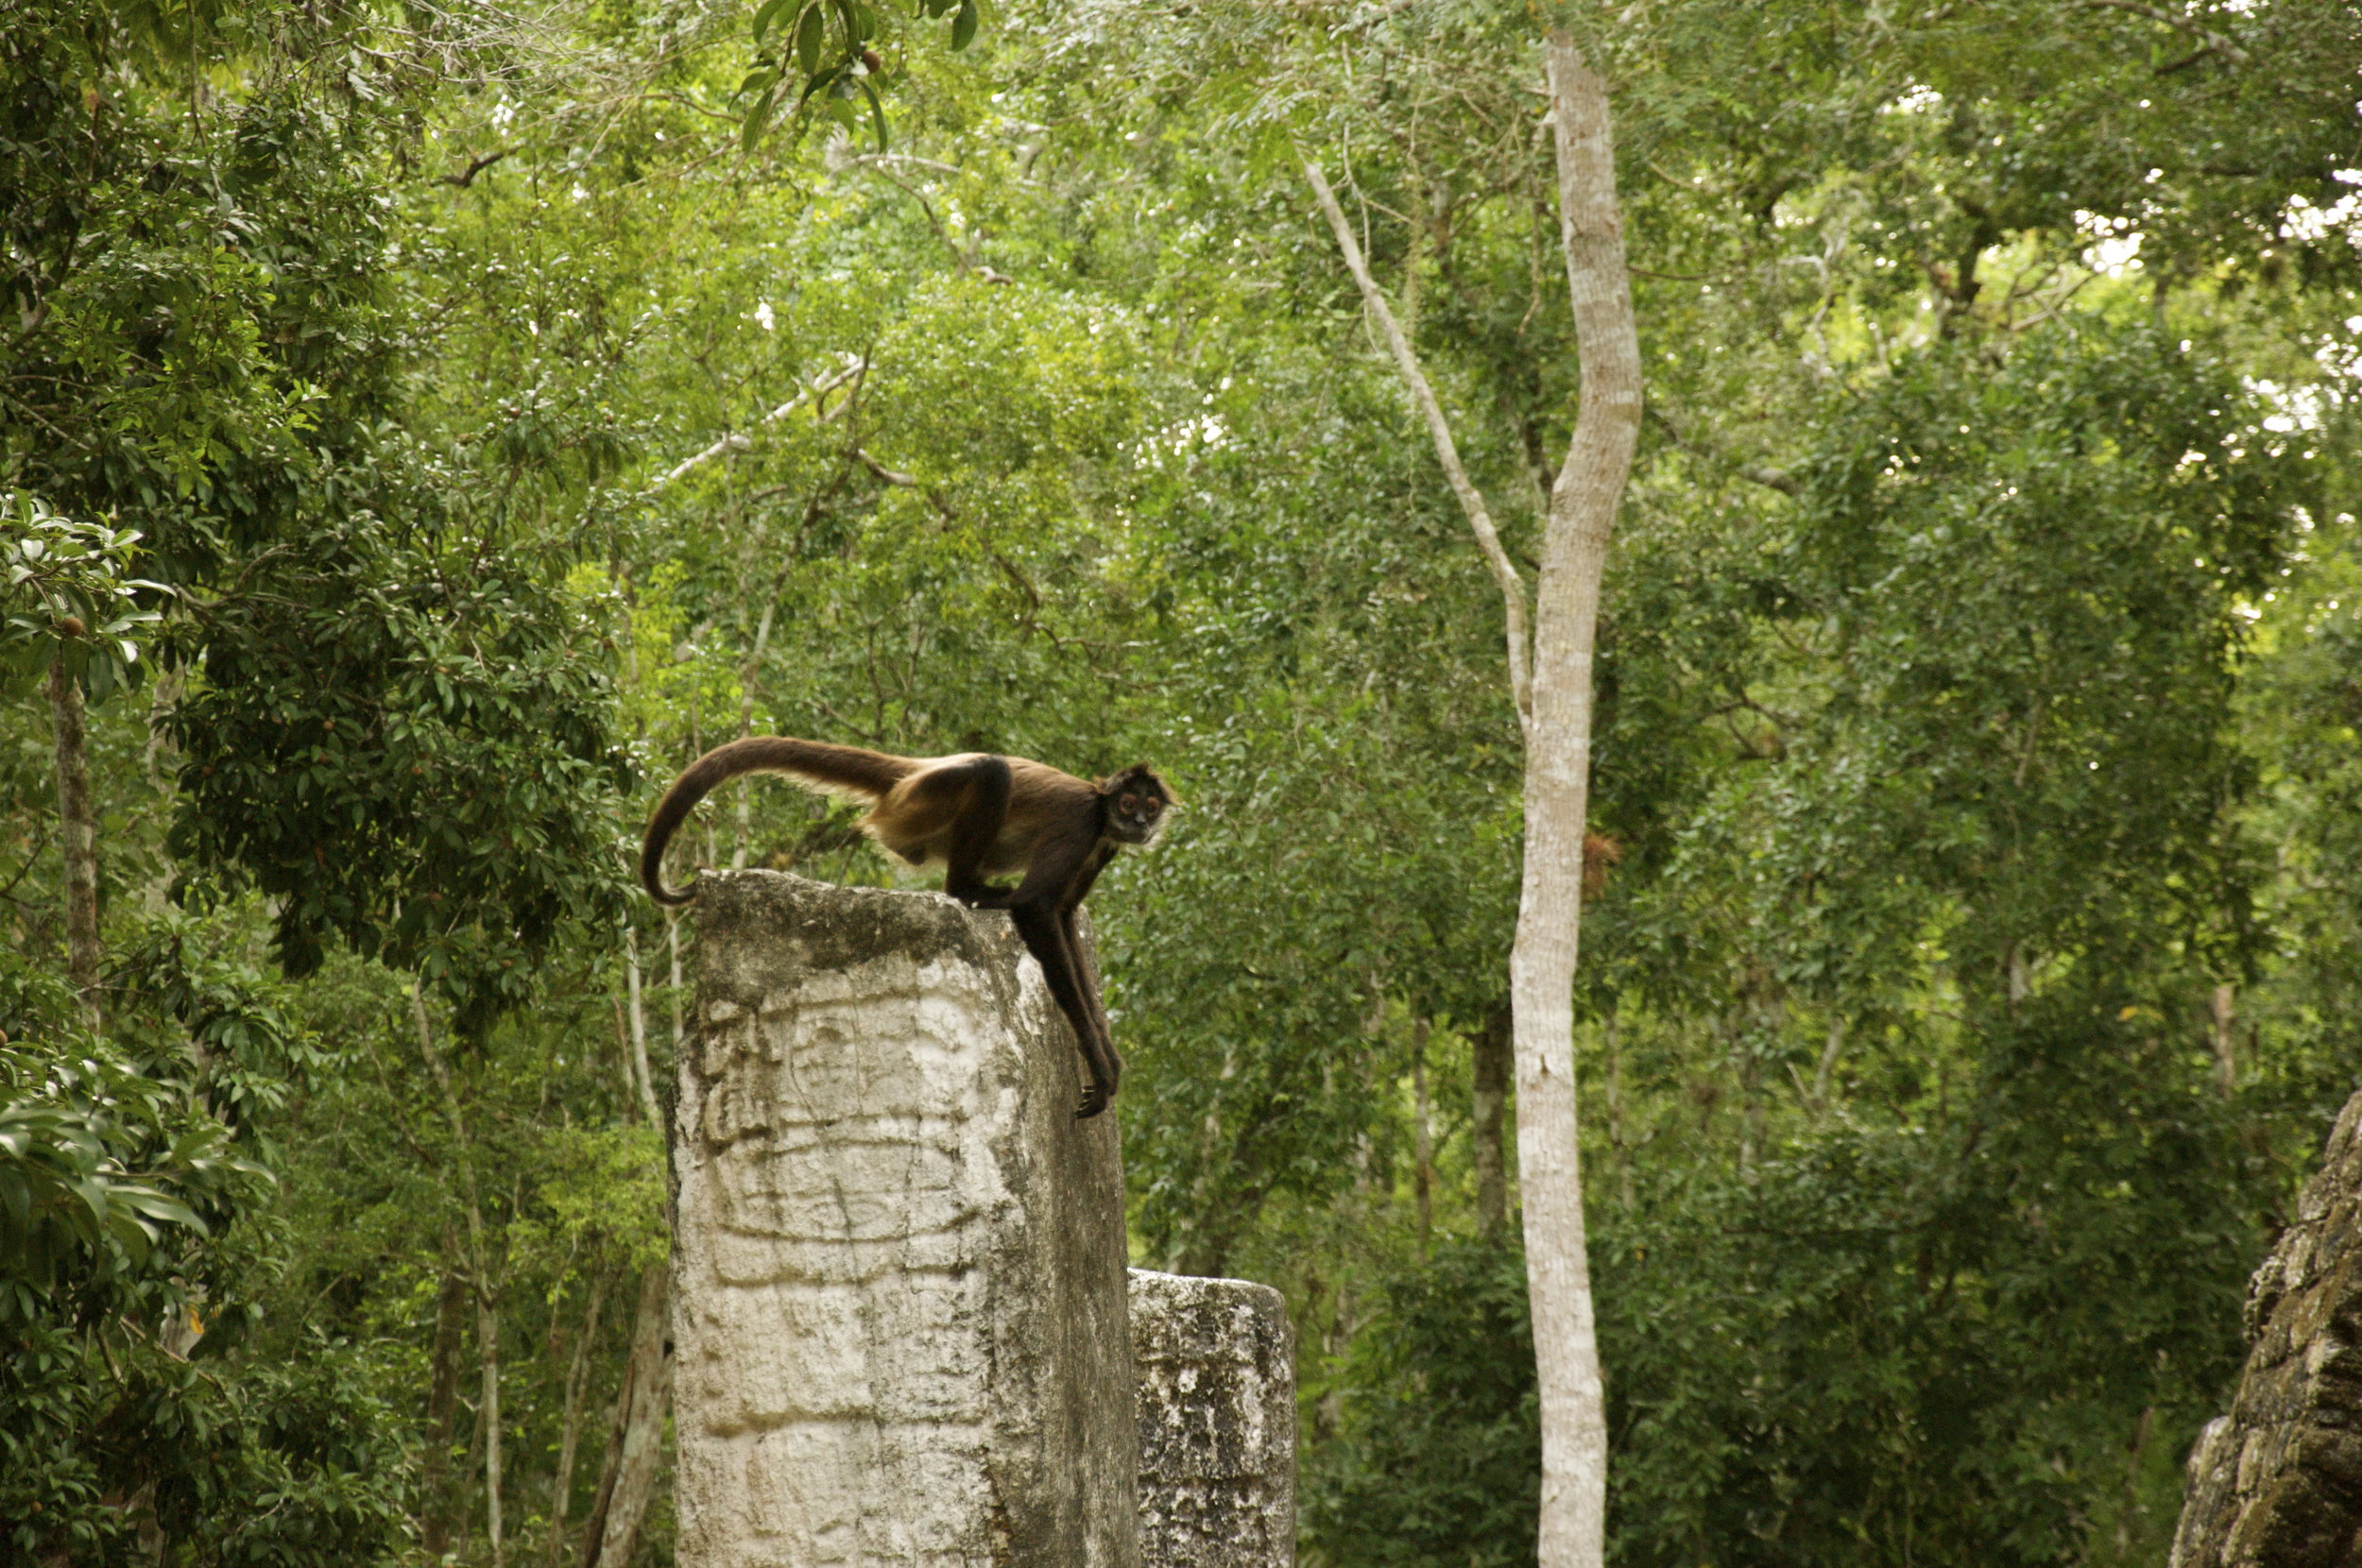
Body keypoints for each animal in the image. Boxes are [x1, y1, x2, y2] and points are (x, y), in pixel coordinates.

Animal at [641, 737, 1175, 1119]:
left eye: (1149, 808)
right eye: (1128, 804)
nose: (1141, 824)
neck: (1101, 809)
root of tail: (915, 769)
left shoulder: (1103, 844)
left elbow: (1062, 914)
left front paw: (1108, 1054)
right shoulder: (1084, 823)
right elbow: (1036, 908)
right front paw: (1099, 1066)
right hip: (923, 804)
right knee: (992, 773)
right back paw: (969, 888)